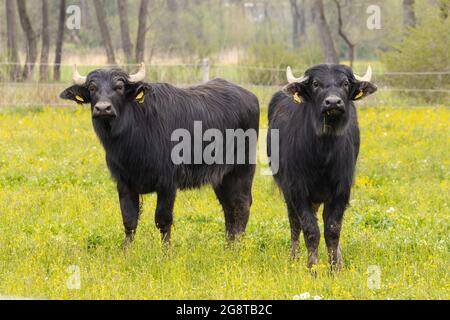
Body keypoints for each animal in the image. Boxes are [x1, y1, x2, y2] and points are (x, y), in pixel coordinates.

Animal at [59, 63, 260, 246]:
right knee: (229, 207)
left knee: (241, 205)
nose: (103, 108)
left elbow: (163, 220)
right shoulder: (124, 183)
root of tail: (250, 97)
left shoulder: (168, 183)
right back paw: (228, 246)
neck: (131, 144)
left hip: (242, 169)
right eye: (92, 88)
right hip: (222, 176)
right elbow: (129, 220)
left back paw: (237, 248)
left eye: (119, 87)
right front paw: (126, 252)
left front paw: (166, 253)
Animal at [268, 63, 376, 268]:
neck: (323, 155)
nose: (333, 103)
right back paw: (293, 257)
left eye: (345, 83)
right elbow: (310, 230)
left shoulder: (341, 191)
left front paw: (335, 267)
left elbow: (333, 230)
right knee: (294, 223)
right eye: (316, 84)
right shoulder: (297, 189)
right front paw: (313, 267)